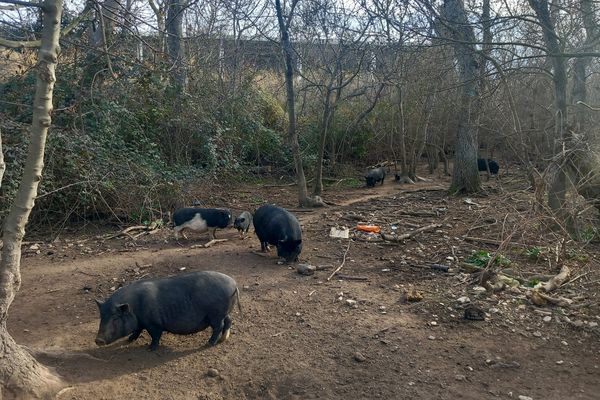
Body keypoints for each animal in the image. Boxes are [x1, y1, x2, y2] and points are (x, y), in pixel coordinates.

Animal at [95, 272, 240, 350]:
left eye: (115, 318)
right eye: (102, 317)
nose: (98, 340)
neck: (135, 308)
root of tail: (234, 283)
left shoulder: (153, 324)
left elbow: (155, 336)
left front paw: (150, 349)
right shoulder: (142, 322)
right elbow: (137, 330)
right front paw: (129, 340)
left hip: (215, 314)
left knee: (219, 326)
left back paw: (209, 343)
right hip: (223, 312)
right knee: (229, 320)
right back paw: (223, 339)